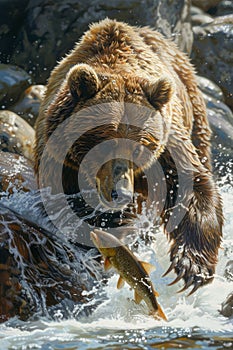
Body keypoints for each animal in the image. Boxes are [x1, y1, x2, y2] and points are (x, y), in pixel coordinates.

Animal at [34, 18, 222, 296]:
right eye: (103, 145)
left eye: (138, 148)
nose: (120, 193)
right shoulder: (60, 160)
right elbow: (69, 206)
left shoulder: (166, 147)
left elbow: (192, 185)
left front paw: (190, 266)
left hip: (193, 108)